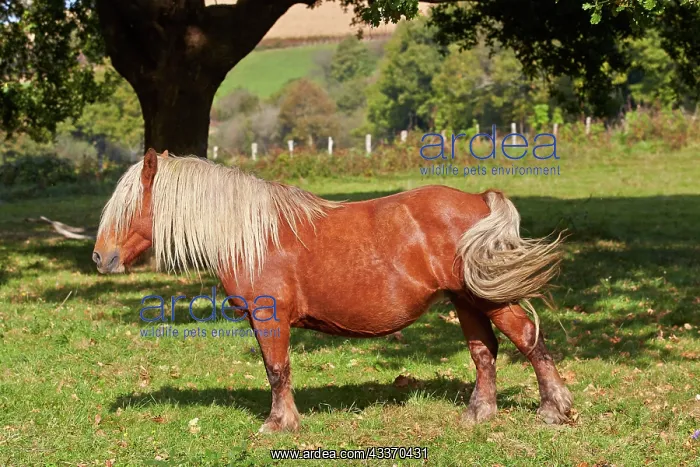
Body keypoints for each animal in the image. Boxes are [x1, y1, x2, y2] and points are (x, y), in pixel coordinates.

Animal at [93, 148, 572, 432]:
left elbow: (277, 369)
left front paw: (279, 424)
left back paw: (553, 409)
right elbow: (276, 369)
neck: (252, 234)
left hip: (486, 298)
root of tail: (477, 199)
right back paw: (478, 414)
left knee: (527, 338)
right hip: (466, 299)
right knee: (484, 352)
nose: (101, 258)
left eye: (129, 205)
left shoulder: (269, 317)